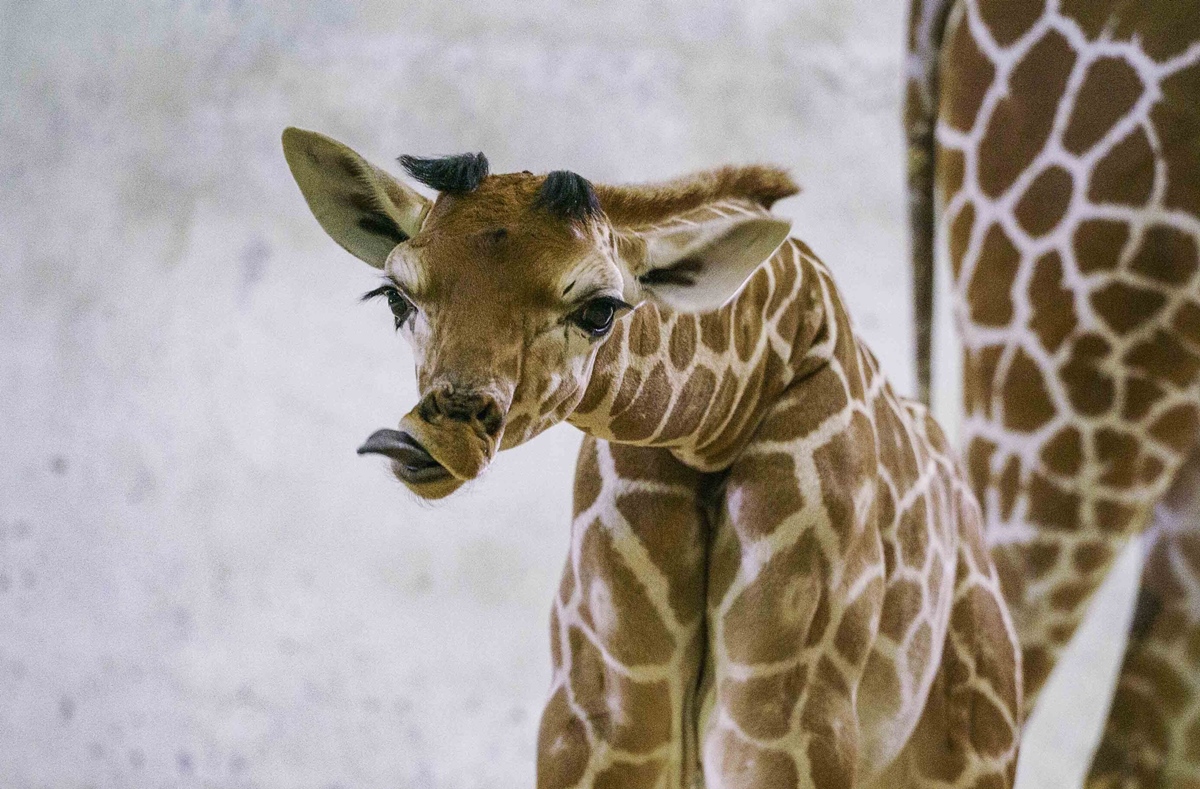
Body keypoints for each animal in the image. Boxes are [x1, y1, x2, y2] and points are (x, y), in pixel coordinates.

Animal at [283, 128, 1022, 786]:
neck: (721, 421)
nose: (428, 439)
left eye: (599, 309)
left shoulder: (784, 718)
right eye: (395, 295)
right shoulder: (604, 712)